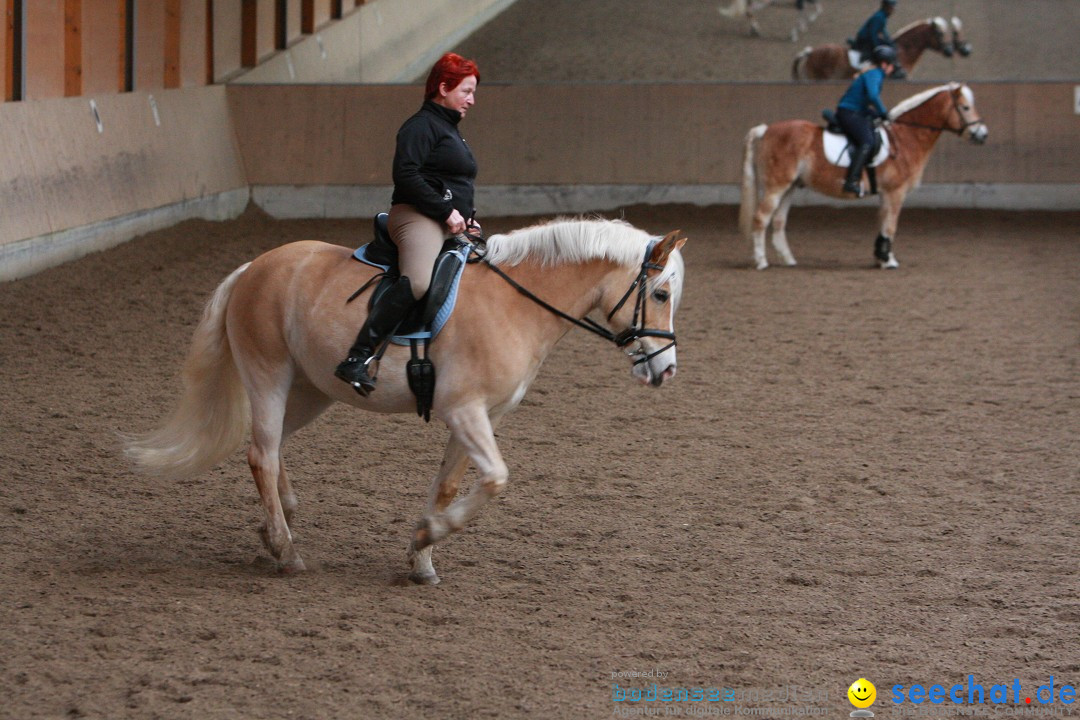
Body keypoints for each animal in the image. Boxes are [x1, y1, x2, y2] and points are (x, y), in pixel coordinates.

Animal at [126, 218, 682, 587]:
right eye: (659, 294)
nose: (666, 369)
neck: (516, 304)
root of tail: (252, 268)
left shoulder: (480, 416)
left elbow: (449, 485)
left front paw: (422, 558)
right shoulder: (464, 410)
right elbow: (495, 479)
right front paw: (425, 536)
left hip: (309, 390)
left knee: (271, 447)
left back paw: (275, 524)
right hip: (269, 375)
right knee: (261, 452)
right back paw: (286, 551)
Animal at [743, 81, 989, 272]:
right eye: (965, 107)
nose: (982, 134)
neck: (906, 137)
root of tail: (766, 130)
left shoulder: (885, 193)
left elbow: (882, 224)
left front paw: (880, 257)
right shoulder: (895, 192)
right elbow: (890, 226)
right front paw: (889, 261)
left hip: (791, 186)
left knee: (778, 221)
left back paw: (789, 260)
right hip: (776, 186)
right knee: (761, 218)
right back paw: (761, 262)